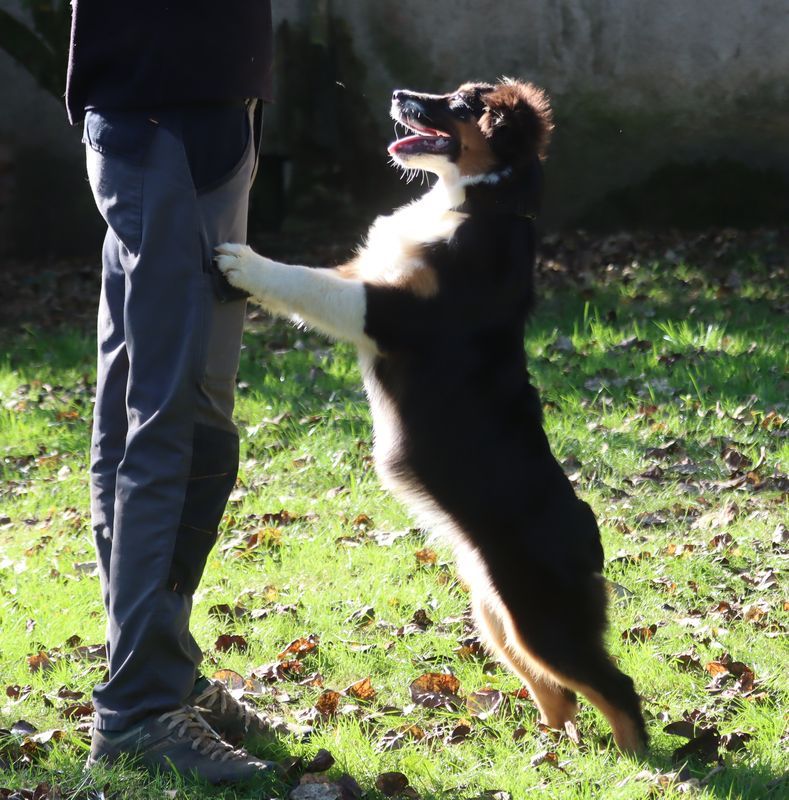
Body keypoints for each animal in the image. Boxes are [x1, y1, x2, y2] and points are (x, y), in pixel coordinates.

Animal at [215, 78, 648, 752]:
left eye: (465, 105)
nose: (398, 93)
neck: (478, 206)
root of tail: (589, 532)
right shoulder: (367, 273)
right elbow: (314, 280)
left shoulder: (388, 311)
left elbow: (306, 284)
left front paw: (246, 262)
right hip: (496, 615)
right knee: (559, 693)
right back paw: (547, 752)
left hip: (541, 617)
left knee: (614, 689)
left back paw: (639, 763)